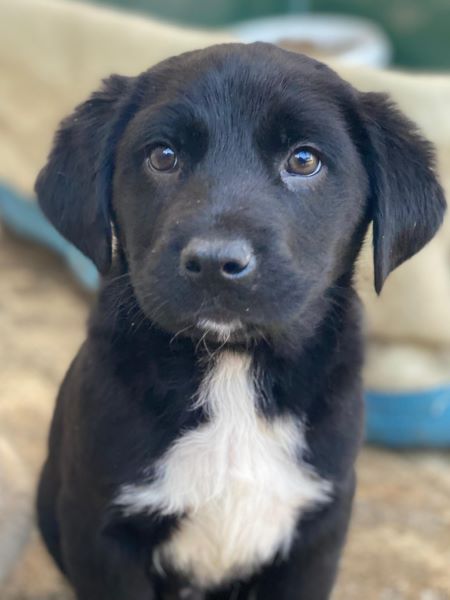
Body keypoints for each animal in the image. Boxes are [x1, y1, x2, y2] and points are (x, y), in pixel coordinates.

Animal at [35, 43, 446, 600]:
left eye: (304, 160)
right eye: (163, 156)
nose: (215, 262)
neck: (232, 369)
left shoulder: (318, 528)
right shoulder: (100, 528)